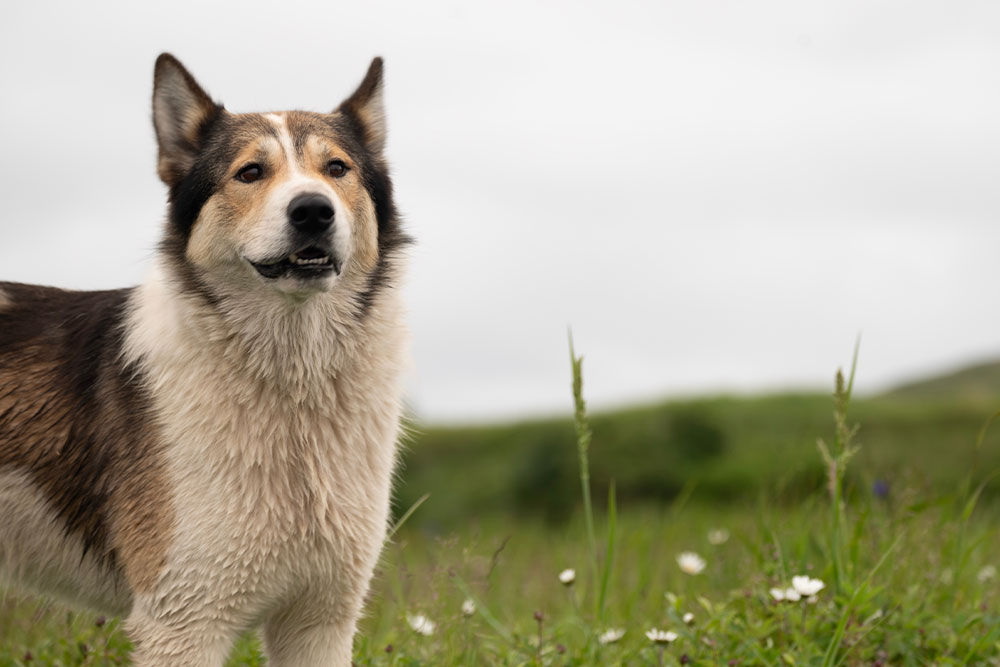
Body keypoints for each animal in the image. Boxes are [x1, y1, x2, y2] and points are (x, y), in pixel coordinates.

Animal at [0, 54, 410, 664]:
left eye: (337, 169)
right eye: (250, 173)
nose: (313, 210)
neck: (292, 384)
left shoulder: (320, 621)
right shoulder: (184, 623)